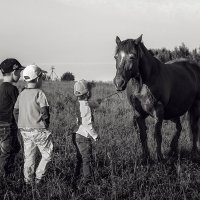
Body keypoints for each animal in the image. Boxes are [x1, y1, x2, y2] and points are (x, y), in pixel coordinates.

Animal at [113, 34, 200, 162]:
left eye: (132, 57)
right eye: (115, 57)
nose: (119, 83)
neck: (142, 84)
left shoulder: (158, 112)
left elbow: (157, 136)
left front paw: (159, 158)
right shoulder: (138, 114)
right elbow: (142, 136)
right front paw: (146, 158)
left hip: (195, 106)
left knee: (194, 128)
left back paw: (194, 153)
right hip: (173, 111)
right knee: (179, 127)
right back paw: (172, 150)